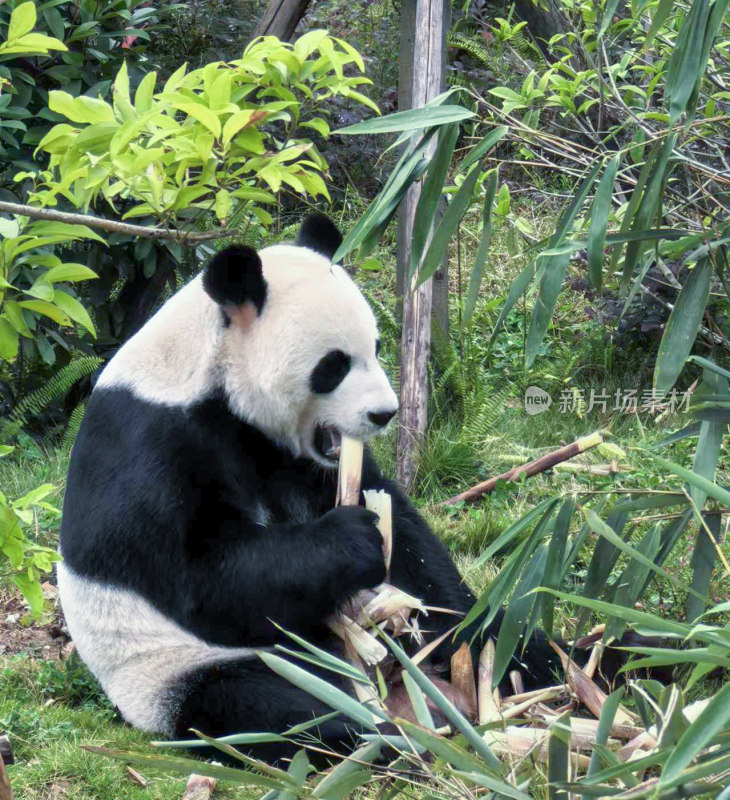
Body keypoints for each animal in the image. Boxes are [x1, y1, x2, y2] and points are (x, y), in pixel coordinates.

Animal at [57, 212, 560, 764]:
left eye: (377, 348)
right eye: (333, 365)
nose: (384, 414)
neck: (207, 373)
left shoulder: (302, 462)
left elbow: (412, 547)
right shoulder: (152, 444)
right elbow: (202, 578)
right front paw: (352, 540)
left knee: (511, 640)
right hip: (177, 670)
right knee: (271, 706)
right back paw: (386, 737)